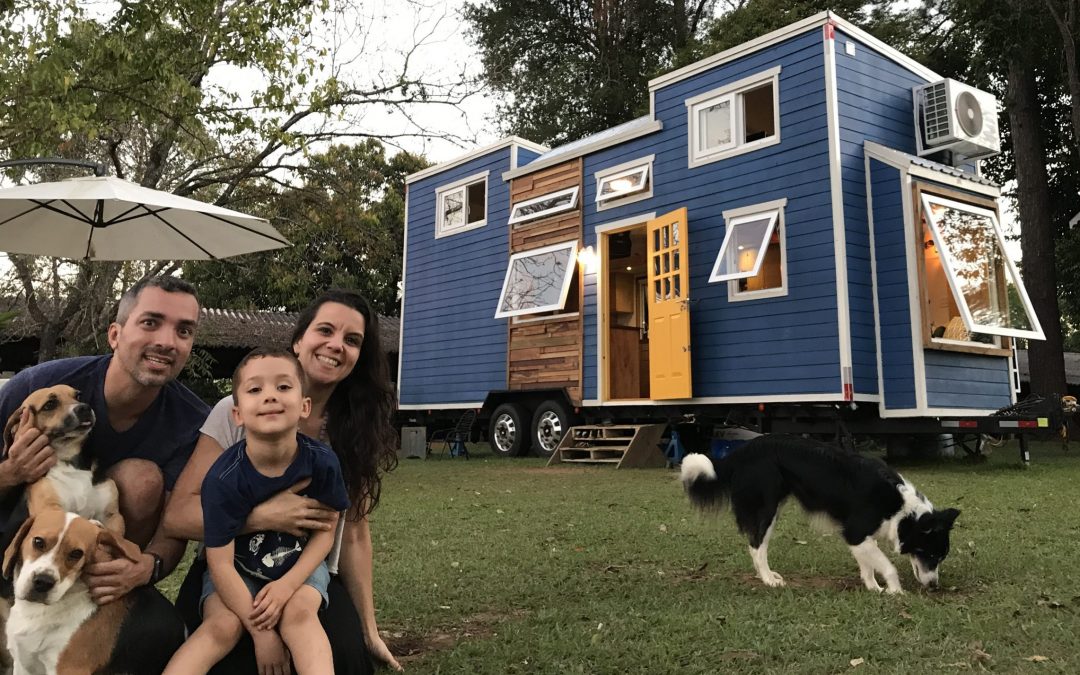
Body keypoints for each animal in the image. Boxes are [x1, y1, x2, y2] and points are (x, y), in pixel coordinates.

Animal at [2, 384, 123, 537]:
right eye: (50, 404)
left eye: (78, 396)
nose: (85, 408)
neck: (69, 458)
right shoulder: (49, 510)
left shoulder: (112, 516)